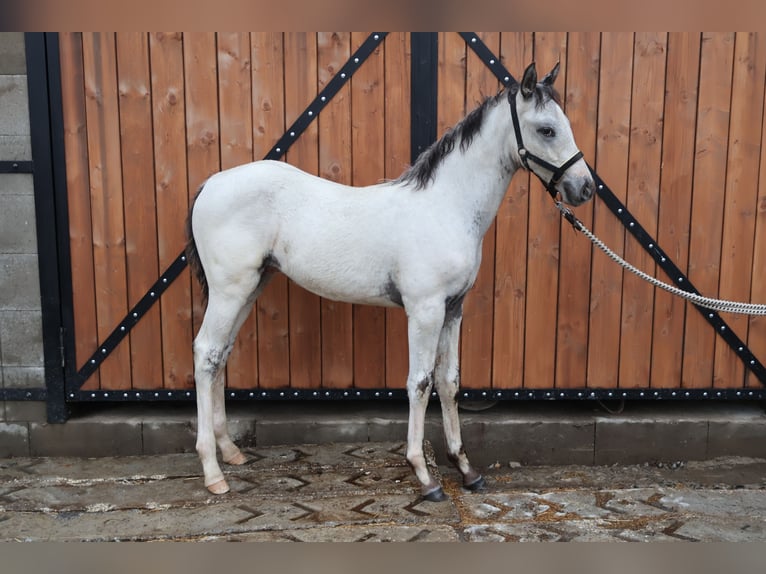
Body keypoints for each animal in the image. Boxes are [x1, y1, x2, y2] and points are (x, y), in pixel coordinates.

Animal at [185, 62, 596, 501]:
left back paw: (231, 453)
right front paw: (425, 476)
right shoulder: (425, 310)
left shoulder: (454, 309)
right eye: (546, 129)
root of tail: (211, 184)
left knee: (221, 356)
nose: (584, 188)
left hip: (250, 287)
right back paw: (213, 472)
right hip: (229, 291)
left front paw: (466, 469)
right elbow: (420, 382)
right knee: (206, 353)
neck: (445, 206)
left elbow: (449, 382)